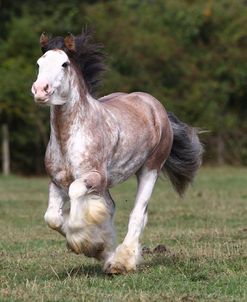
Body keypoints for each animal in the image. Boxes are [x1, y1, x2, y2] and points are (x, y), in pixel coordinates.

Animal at [30, 30, 203, 274]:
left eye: (64, 64)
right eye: (39, 63)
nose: (40, 90)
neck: (70, 136)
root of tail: (154, 106)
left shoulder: (94, 177)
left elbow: (76, 194)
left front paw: (87, 242)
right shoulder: (57, 182)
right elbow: (52, 218)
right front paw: (98, 248)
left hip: (150, 169)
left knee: (139, 213)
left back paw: (122, 261)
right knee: (112, 207)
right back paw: (110, 255)